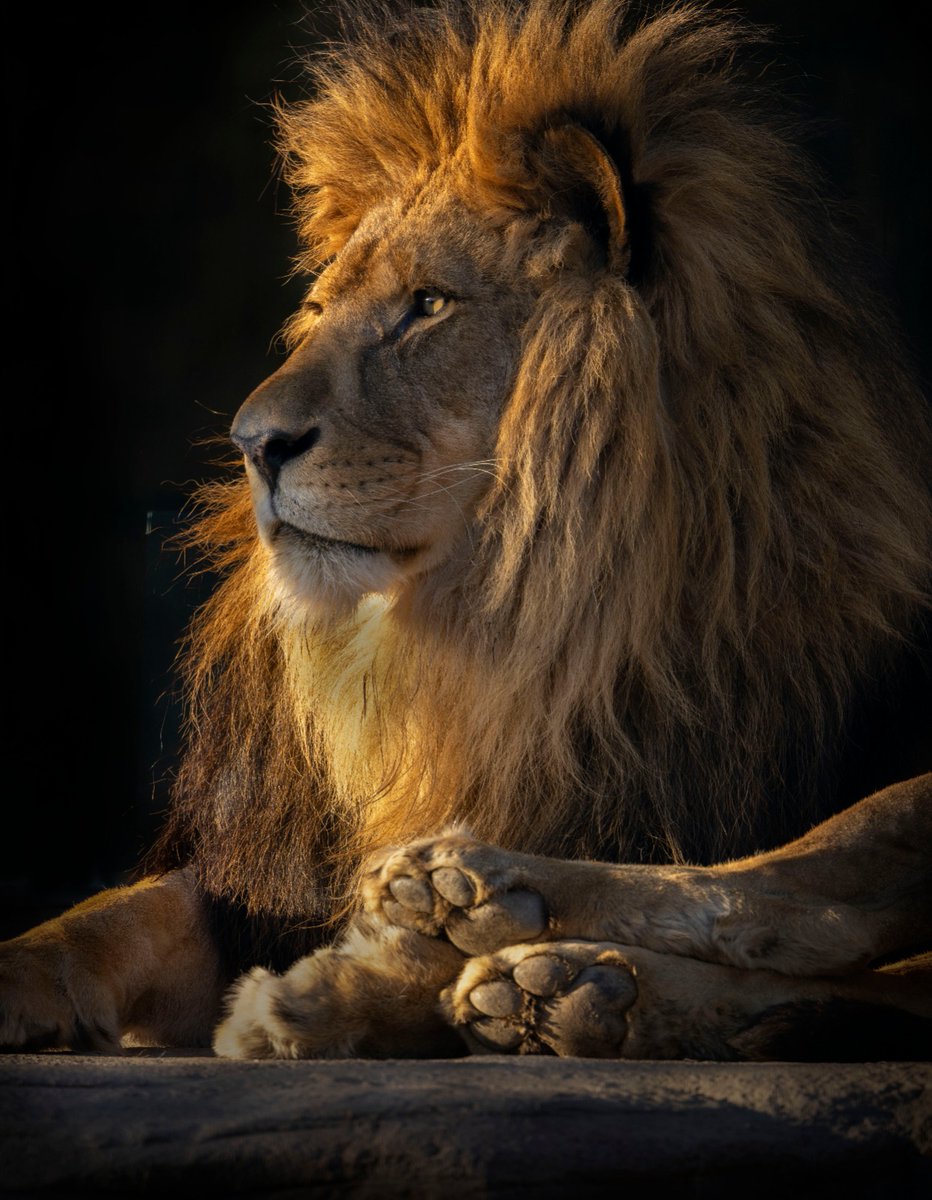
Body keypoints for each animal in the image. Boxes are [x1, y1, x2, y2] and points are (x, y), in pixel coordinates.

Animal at [1, 0, 930, 1061]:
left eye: (429, 305)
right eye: (319, 309)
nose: (252, 443)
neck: (472, 646)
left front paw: (340, 989)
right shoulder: (263, 877)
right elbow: (104, 915)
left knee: (811, 899)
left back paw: (494, 921)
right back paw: (559, 975)